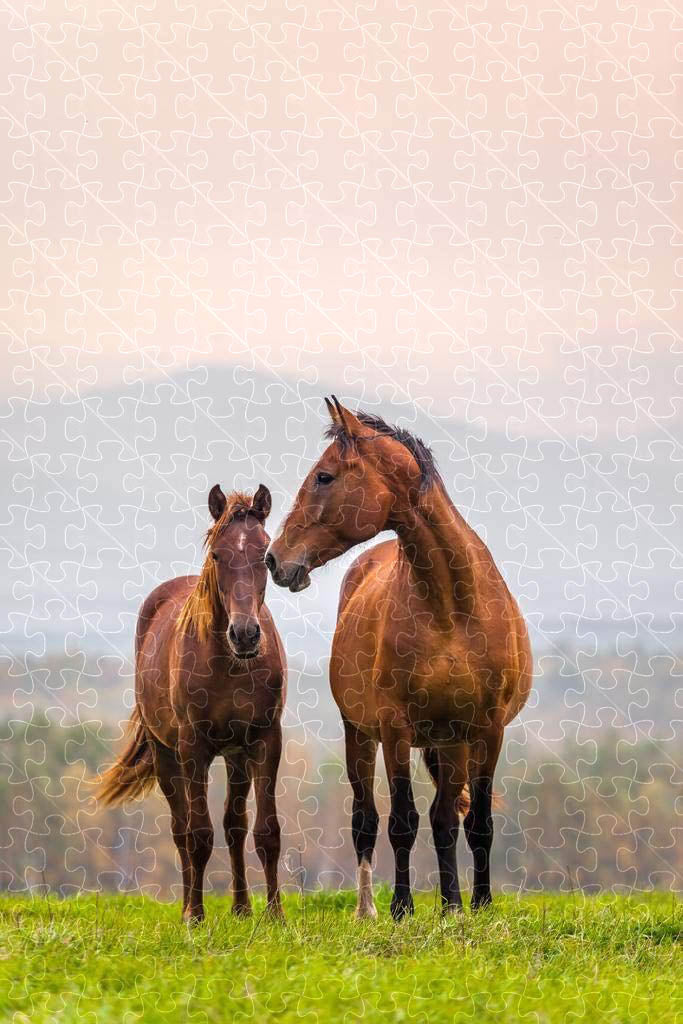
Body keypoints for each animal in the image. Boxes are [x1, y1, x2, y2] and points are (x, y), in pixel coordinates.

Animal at [97, 484, 286, 924]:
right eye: (217, 553)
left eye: (264, 553)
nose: (245, 634)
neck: (230, 663)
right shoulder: (193, 748)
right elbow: (198, 835)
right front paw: (195, 917)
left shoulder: (265, 741)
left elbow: (265, 831)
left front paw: (275, 917)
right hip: (167, 755)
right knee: (181, 829)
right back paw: (187, 906)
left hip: (236, 757)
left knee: (235, 824)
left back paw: (241, 908)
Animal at [266, 398, 532, 920]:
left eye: (324, 476)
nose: (274, 559)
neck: (451, 607)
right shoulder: (394, 728)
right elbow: (401, 821)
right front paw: (402, 908)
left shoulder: (486, 729)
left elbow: (475, 822)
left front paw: (476, 905)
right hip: (360, 735)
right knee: (366, 820)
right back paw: (367, 909)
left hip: (452, 743)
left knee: (446, 817)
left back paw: (451, 904)